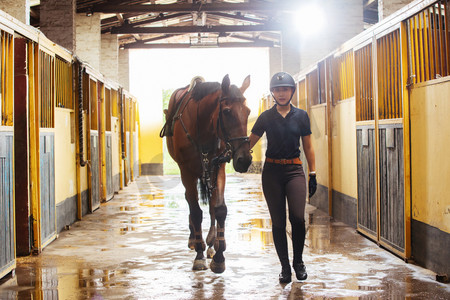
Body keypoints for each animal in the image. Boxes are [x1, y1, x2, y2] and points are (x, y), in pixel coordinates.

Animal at [163, 74, 253, 272]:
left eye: (248, 111)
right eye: (226, 111)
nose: (244, 160)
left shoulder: (218, 167)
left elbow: (219, 209)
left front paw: (219, 255)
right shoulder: (186, 171)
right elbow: (196, 211)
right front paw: (199, 254)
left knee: (211, 203)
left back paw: (212, 243)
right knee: (191, 202)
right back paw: (195, 240)